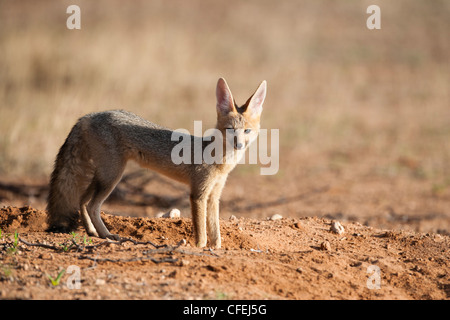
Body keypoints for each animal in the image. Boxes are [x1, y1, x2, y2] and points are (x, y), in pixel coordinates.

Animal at [48, 77, 268, 248]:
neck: (220, 162)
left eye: (247, 131)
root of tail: (88, 116)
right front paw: (200, 247)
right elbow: (202, 232)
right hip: (112, 176)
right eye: (230, 130)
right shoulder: (197, 194)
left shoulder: (214, 195)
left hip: (104, 175)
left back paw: (92, 232)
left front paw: (217, 248)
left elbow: (215, 231)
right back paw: (106, 235)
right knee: (92, 205)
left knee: (82, 200)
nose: (239, 144)